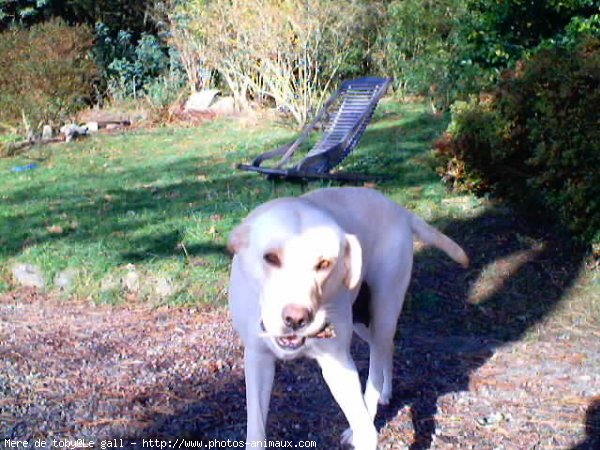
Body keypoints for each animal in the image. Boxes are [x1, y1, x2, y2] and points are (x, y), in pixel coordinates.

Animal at [229, 186, 468, 446]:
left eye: (324, 263)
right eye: (270, 258)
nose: (297, 319)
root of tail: (401, 210)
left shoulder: (337, 363)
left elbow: (365, 429)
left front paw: (362, 431)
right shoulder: (257, 360)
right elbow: (256, 430)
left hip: (383, 311)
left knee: (376, 365)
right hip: (361, 321)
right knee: (386, 346)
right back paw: (387, 391)